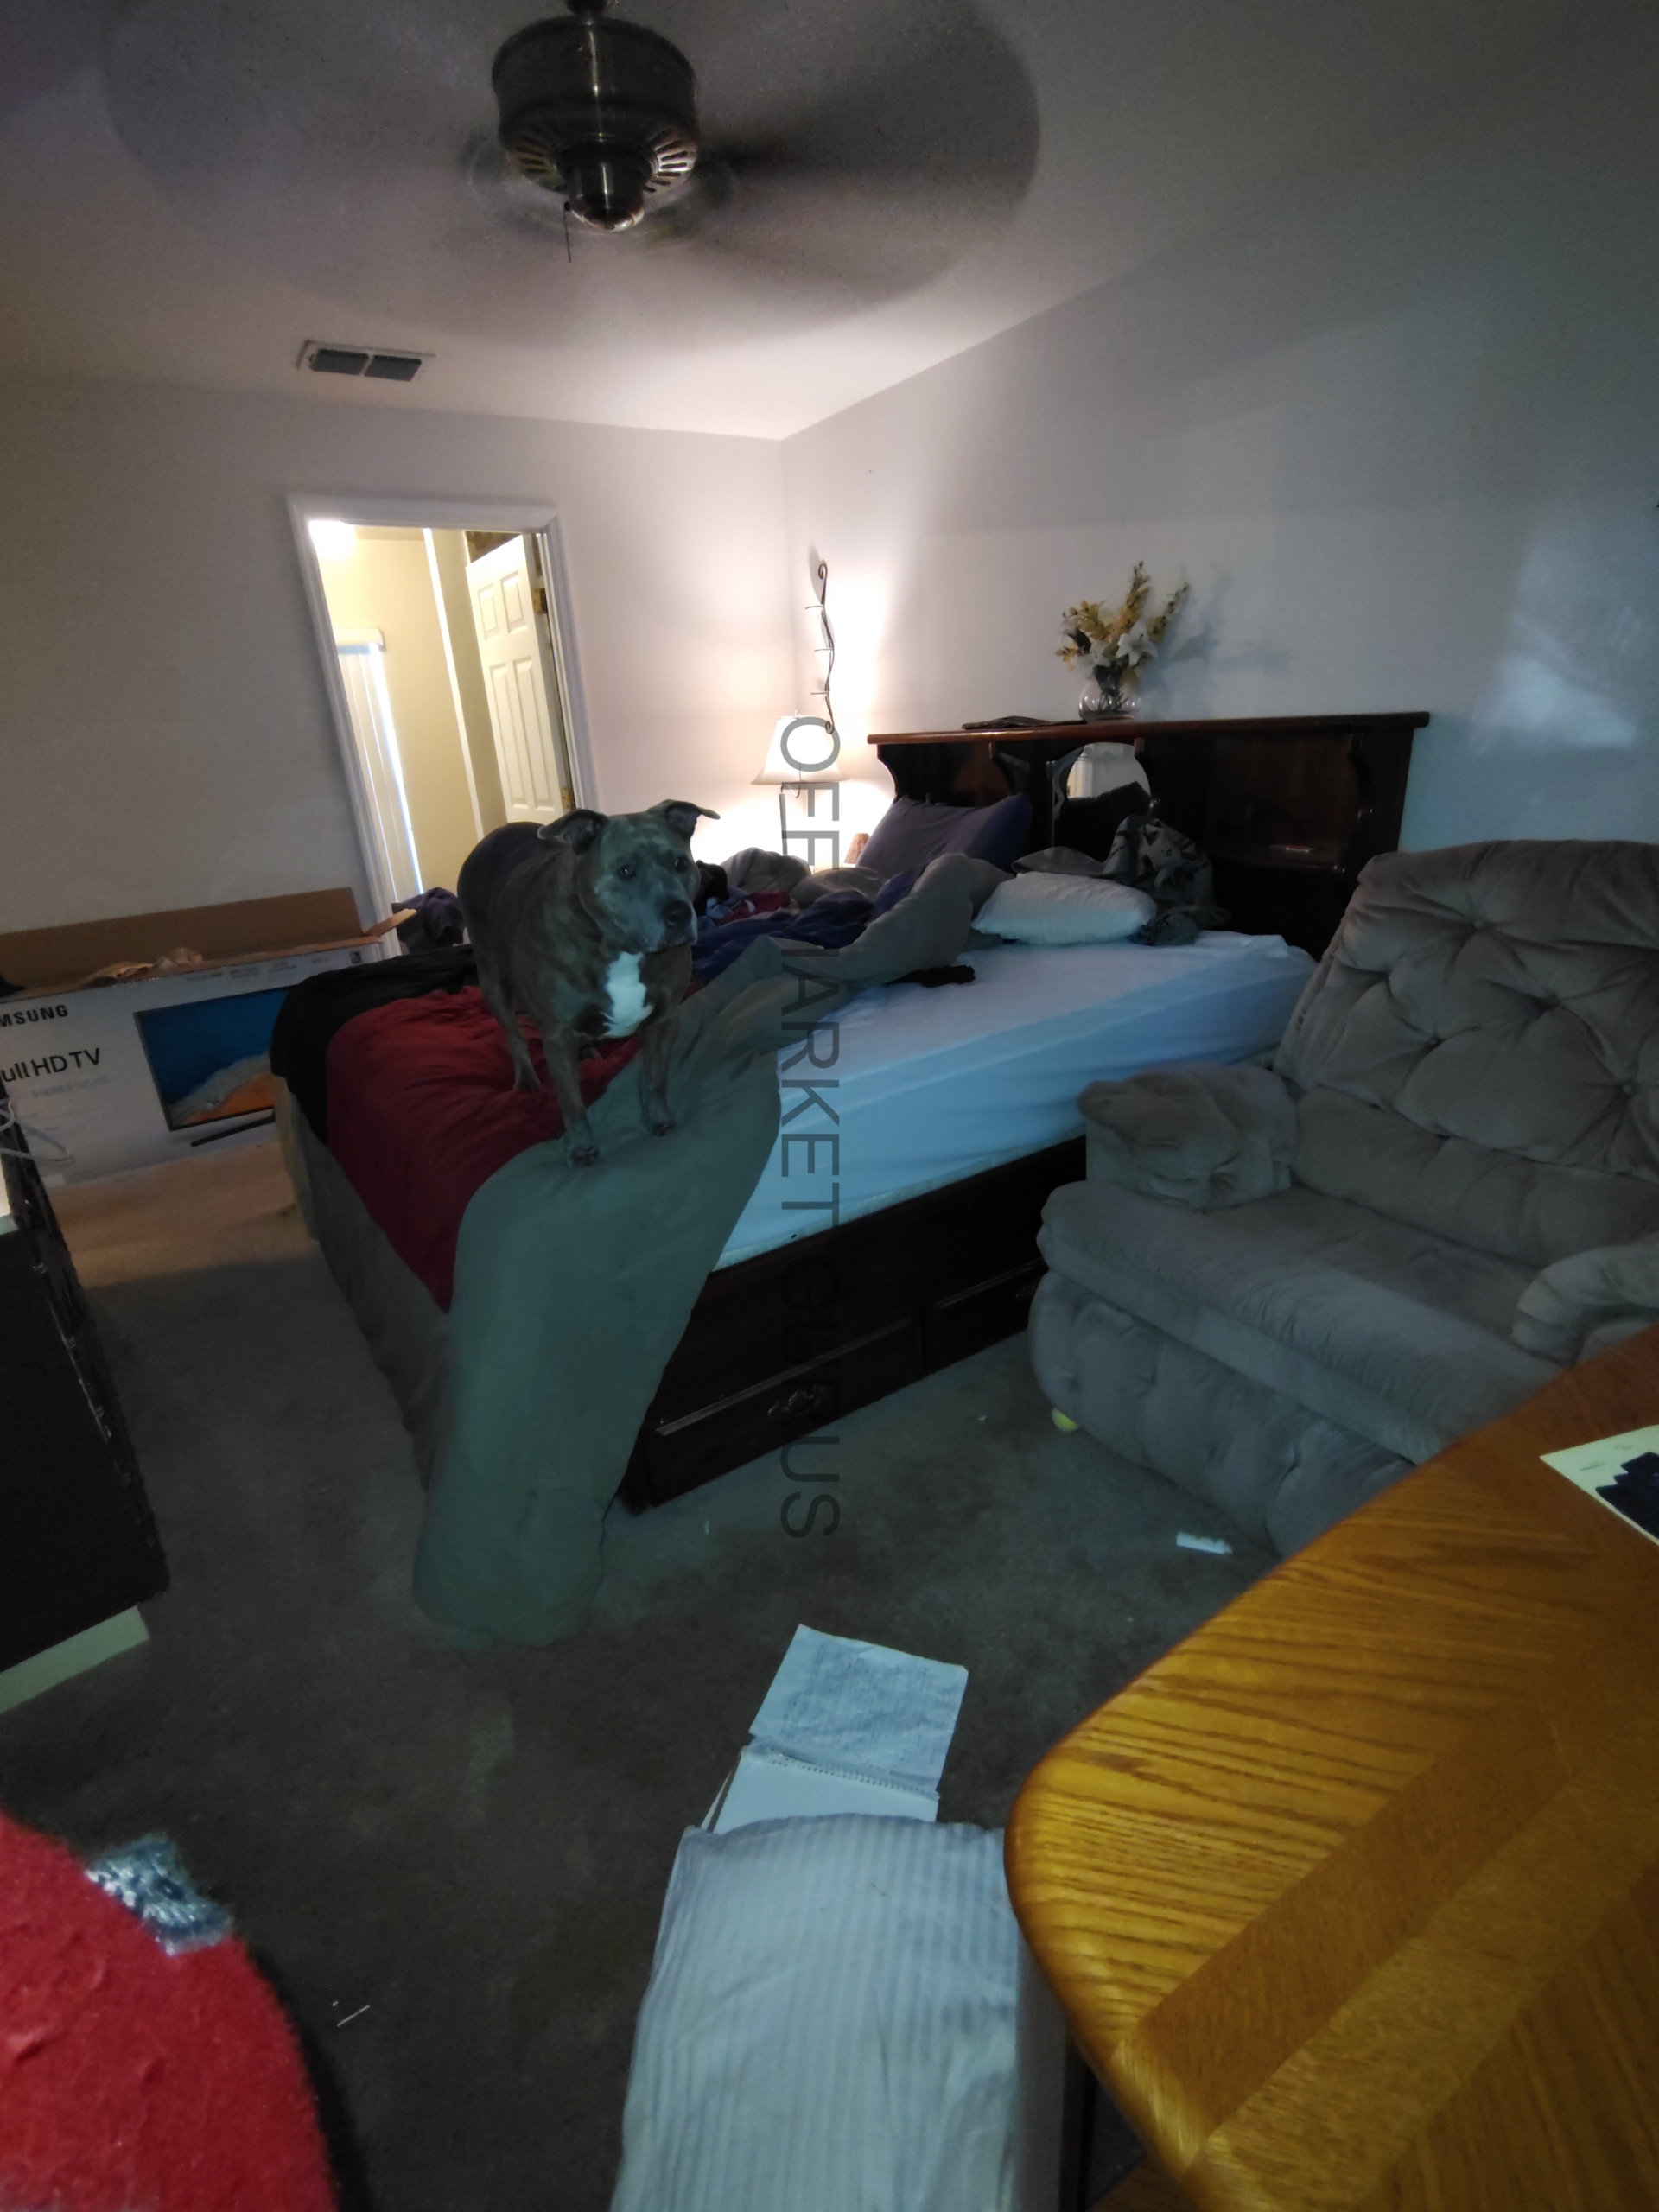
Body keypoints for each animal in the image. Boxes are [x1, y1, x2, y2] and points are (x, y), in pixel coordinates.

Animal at [457, 800, 718, 1166]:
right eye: (626, 871)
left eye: (681, 863)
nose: (679, 914)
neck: (620, 950)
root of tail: (493, 836)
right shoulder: (557, 1035)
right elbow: (572, 1103)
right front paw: (581, 1148)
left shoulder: (664, 1019)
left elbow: (655, 1079)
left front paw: (659, 1121)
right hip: (492, 977)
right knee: (514, 1034)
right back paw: (527, 1079)